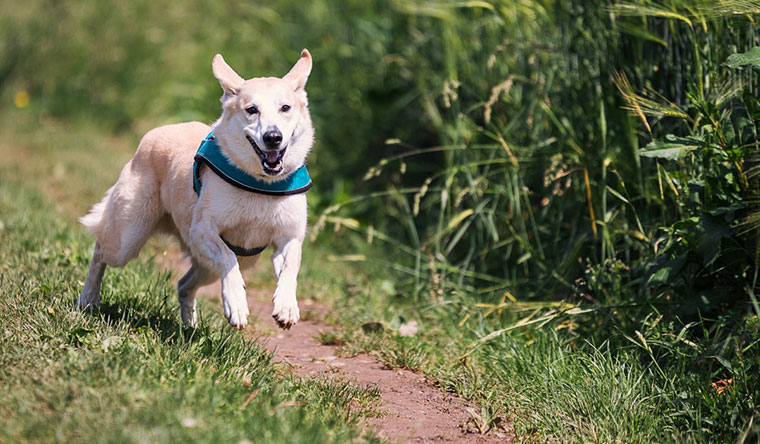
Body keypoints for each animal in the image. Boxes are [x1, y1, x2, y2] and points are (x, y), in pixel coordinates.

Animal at [77, 49, 314, 330]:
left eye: (285, 108)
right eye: (251, 110)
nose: (273, 137)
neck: (260, 184)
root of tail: (156, 132)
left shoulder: (289, 237)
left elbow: (290, 268)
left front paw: (287, 307)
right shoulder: (203, 230)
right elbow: (228, 258)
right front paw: (236, 304)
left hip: (207, 265)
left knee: (184, 284)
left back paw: (190, 326)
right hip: (127, 238)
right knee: (100, 251)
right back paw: (88, 299)